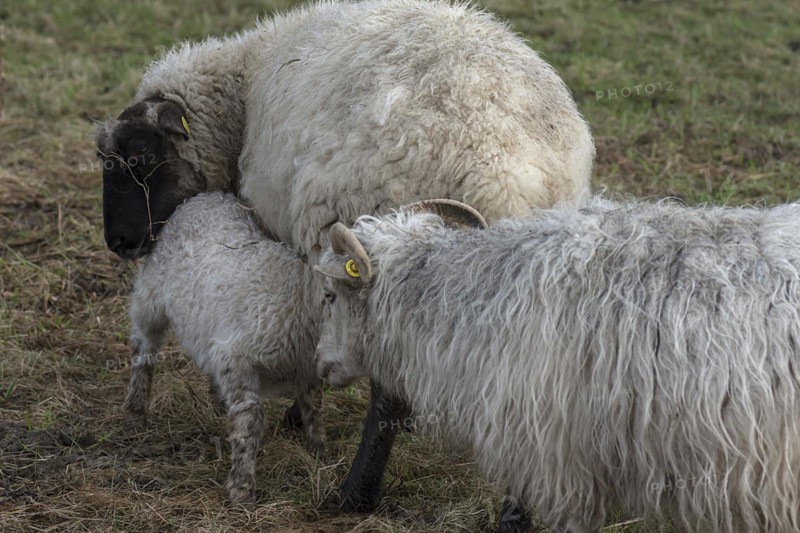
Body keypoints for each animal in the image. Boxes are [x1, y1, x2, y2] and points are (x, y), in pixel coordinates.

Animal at [124, 191, 325, 504]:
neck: (299, 293)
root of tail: (206, 197)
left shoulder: (306, 368)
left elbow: (312, 405)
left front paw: (320, 451)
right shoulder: (236, 357)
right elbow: (250, 418)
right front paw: (241, 486)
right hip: (151, 295)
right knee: (143, 345)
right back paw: (135, 409)